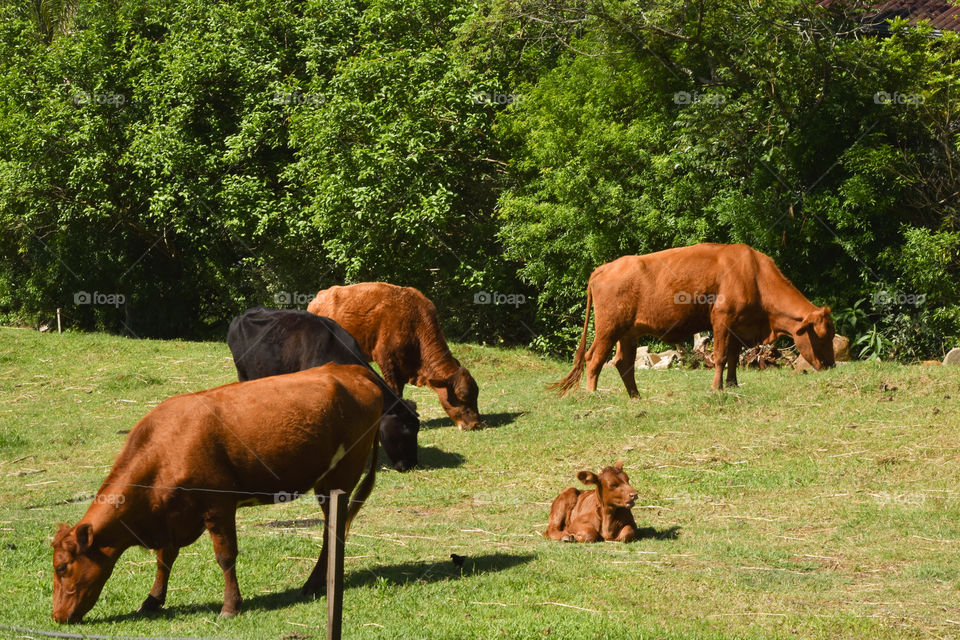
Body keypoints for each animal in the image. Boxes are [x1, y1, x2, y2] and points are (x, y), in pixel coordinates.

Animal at [52, 364, 382, 624]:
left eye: (62, 567)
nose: (56, 616)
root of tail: (350, 369)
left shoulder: (218, 505)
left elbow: (225, 557)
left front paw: (230, 606)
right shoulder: (171, 516)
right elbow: (164, 559)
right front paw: (152, 601)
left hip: (340, 477)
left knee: (333, 530)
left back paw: (315, 582)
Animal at [308, 284, 484, 430]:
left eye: (476, 394)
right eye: (462, 395)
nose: (475, 424)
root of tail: (318, 299)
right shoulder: (387, 363)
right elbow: (395, 392)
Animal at [552, 244, 836, 398]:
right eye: (822, 336)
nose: (831, 365)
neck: (754, 274)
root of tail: (604, 267)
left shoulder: (737, 326)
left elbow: (733, 357)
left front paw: (732, 384)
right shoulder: (721, 320)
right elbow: (720, 357)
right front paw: (716, 388)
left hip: (628, 333)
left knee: (623, 363)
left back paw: (636, 397)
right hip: (608, 329)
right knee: (594, 359)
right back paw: (592, 395)